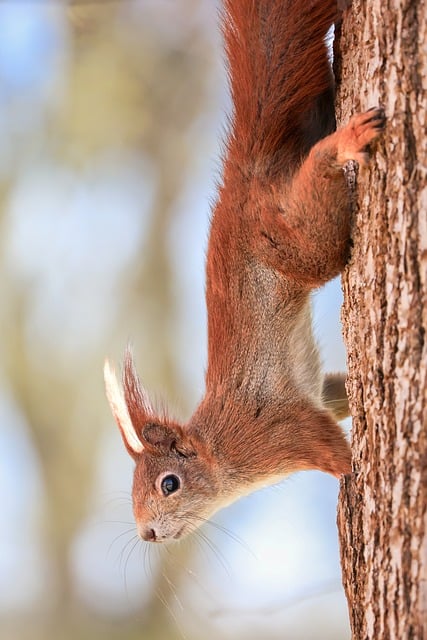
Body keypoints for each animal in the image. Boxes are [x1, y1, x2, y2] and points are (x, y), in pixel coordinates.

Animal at [104, 0, 385, 543]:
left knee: (318, 184)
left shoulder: (279, 432)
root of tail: (244, 173)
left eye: (168, 484)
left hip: (295, 241)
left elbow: (332, 451)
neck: (218, 452)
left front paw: (351, 477)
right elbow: (334, 394)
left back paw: (348, 141)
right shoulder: (314, 396)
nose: (147, 534)